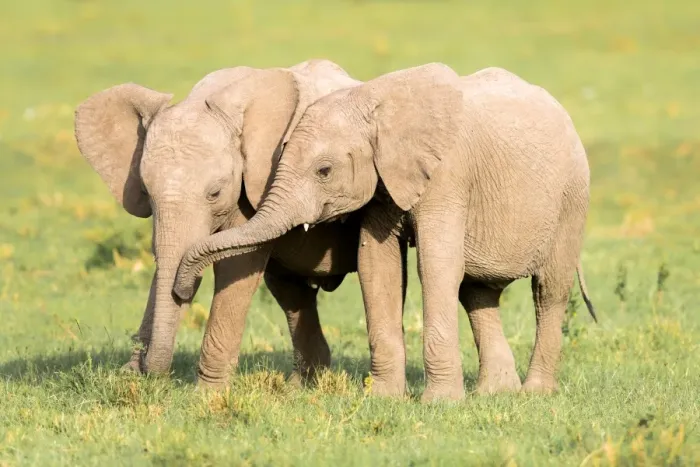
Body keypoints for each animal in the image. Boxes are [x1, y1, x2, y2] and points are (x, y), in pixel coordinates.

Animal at [74, 59, 364, 386]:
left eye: (215, 193)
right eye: (146, 192)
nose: (145, 366)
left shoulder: (257, 181)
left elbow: (237, 266)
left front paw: (207, 391)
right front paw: (131, 376)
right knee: (290, 290)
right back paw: (301, 386)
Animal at [172, 63, 597, 402]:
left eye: (324, 171)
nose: (183, 289)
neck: (374, 101)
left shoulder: (447, 175)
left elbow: (436, 264)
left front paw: (439, 404)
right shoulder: (382, 185)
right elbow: (378, 265)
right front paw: (384, 399)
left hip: (572, 198)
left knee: (549, 291)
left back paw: (534, 394)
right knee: (478, 293)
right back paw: (495, 394)